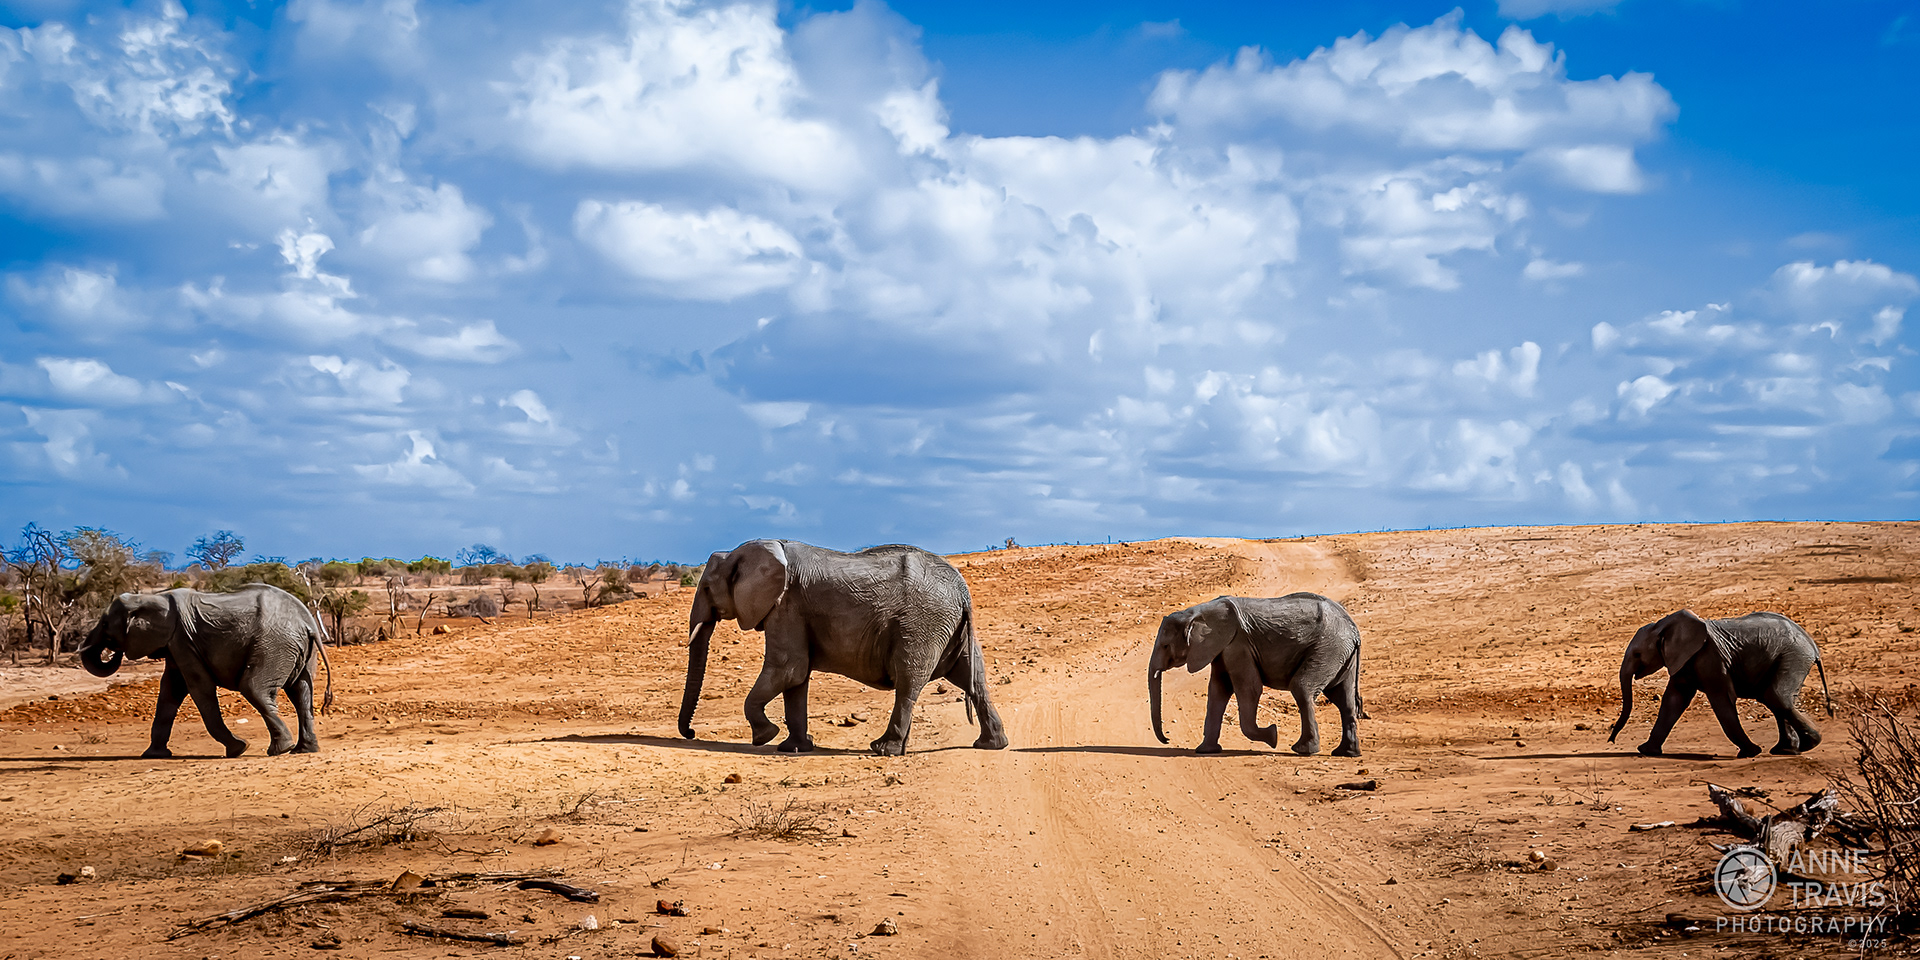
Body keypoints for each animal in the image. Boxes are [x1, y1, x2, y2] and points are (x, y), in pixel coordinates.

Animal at [77, 584, 334, 758]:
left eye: (105, 624)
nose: (113, 652)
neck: (154, 597)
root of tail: (308, 622)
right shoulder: (176, 643)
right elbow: (170, 691)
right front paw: (154, 755)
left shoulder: (183, 639)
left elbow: (199, 688)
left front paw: (239, 749)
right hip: (298, 649)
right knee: (301, 693)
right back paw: (302, 751)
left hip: (274, 644)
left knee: (253, 688)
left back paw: (280, 750)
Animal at [679, 539, 1009, 756]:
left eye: (706, 588)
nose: (691, 734)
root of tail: (962, 592)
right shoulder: (790, 611)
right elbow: (796, 679)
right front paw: (795, 748)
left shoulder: (785, 606)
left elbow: (788, 669)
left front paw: (764, 737)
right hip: (948, 627)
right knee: (972, 679)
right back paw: (990, 745)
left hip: (922, 623)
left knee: (907, 681)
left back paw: (884, 749)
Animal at [1148, 593, 1367, 757]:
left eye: (1165, 646)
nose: (1167, 739)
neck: (1197, 612)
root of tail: (1354, 630)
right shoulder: (1222, 647)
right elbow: (1218, 690)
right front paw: (1205, 751)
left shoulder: (1238, 645)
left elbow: (1249, 689)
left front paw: (1273, 736)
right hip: (1340, 653)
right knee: (1344, 700)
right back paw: (1345, 753)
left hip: (1328, 648)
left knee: (1302, 688)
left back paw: (1303, 750)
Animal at [1608, 609, 1833, 758]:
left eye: (1637, 654)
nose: (1611, 740)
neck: (1664, 625)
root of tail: (1813, 645)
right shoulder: (1685, 660)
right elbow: (1674, 700)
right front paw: (1646, 751)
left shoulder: (1711, 658)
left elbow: (1722, 699)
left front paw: (1751, 753)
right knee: (1773, 699)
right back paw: (1785, 750)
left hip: (1793, 656)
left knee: (1776, 697)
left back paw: (1806, 746)